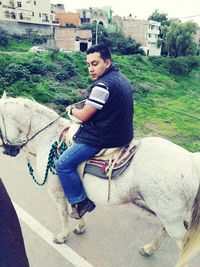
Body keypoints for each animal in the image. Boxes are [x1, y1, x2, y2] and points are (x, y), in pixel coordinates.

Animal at [0, 95, 199, 266]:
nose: (6, 150)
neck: (49, 138)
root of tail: (192, 160)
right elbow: (77, 205)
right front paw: (80, 226)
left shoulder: (56, 191)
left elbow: (63, 212)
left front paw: (62, 236)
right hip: (170, 215)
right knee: (164, 231)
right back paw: (149, 249)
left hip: (171, 217)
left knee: (182, 244)